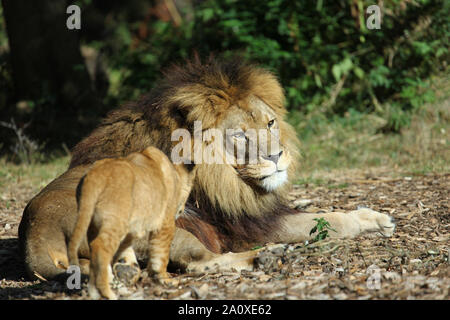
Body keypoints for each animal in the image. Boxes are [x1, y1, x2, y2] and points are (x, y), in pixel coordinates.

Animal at [17, 57, 394, 280]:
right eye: (240, 135)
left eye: (271, 122)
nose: (277, 156)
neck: (227, 179)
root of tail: (37, 238)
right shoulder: (240, 225)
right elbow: (326, 222)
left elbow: (325, 216)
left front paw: (373, 218)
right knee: (197, 262)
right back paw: (266, 257)